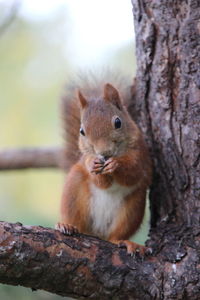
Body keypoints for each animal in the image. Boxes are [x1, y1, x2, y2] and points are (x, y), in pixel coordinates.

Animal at [54, 74, 152, 254]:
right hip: (73, 191)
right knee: (77, 223)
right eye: (82, 131)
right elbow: (100, 181)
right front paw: (94, 164)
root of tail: (97, 234)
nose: (104, 153)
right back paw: (67, 225)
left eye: (118, 122)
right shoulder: (86, 159)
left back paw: (124, 242)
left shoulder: (140, 155)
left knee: (115, 236)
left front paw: (116, 164)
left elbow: (133, 173)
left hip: (134, 206)